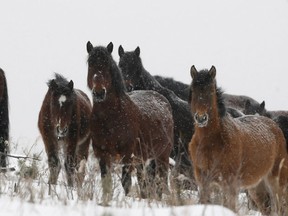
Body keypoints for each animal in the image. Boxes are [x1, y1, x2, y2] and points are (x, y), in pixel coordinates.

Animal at [86, 41, 173, 203]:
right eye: (90, 64)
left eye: (108, 65)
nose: (99, 92)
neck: (111, 119)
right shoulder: (102, 154)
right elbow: (106, 183)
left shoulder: (127, 155)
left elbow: (126, 182)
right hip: (142, 159)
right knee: (144, 182)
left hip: (162, 156)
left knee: (161, 181)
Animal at [188, 65, 288, 213]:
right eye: (193, 90)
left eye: (211, 91)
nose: (201, 118)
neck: (212, 142)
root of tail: (275, 127)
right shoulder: (204, 181)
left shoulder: (229, 184)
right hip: (257, 188)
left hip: (278, 183)